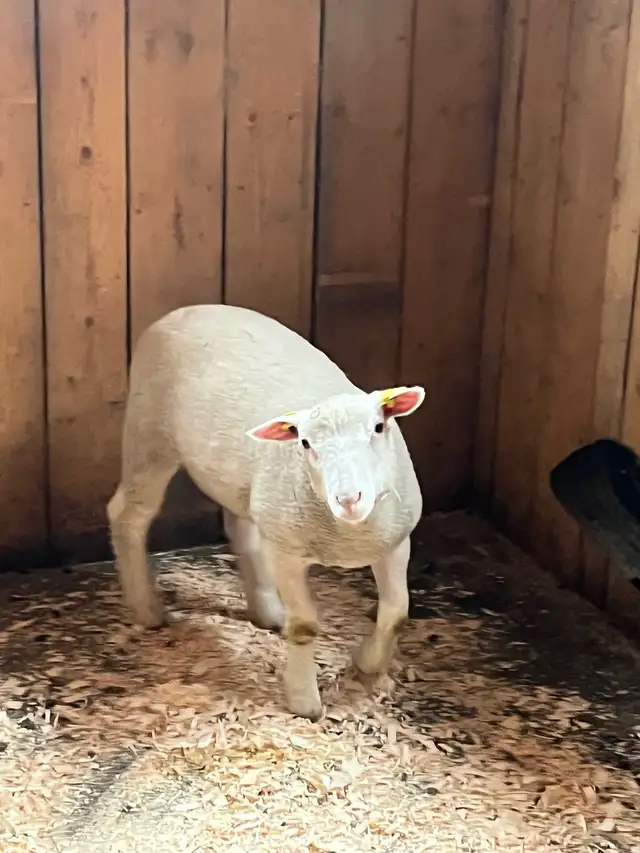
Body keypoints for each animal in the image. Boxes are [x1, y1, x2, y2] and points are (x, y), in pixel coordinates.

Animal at [107, 304, 425, 720]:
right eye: (304, 443)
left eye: (378, 427)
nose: (349, 498)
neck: (348, 535)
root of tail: (189, 309)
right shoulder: (287, 551)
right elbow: (305, 626)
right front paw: (305, 702)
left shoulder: (395, 542)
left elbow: (396, 613)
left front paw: (366, 663)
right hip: (149, 435)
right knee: (129, 513)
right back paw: (147, 609)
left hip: (241, 481)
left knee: (241, 528)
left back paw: (266, 611)